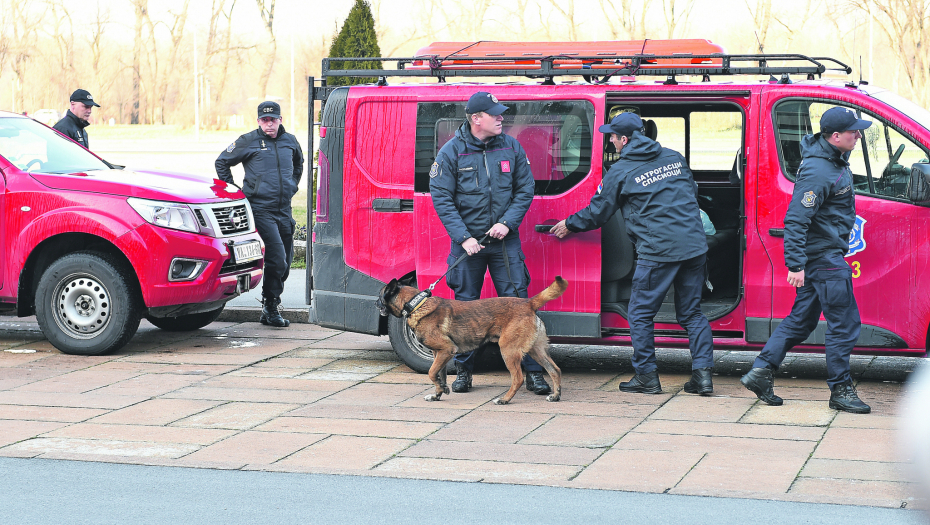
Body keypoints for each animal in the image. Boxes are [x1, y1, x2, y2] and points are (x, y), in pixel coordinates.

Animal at [374, 276, 560, 404]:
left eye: (380, 296)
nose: (375, 304)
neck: (416, 304)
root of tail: (528, 303)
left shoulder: (447, 350)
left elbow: (431, 372)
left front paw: (440, 389)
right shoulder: (439, 354)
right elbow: (439, 374)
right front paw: (438, 394)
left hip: (508, 350)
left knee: (518, 379)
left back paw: (505, 399)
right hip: (536, 350)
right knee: (555, 370)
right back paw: (556, 395)